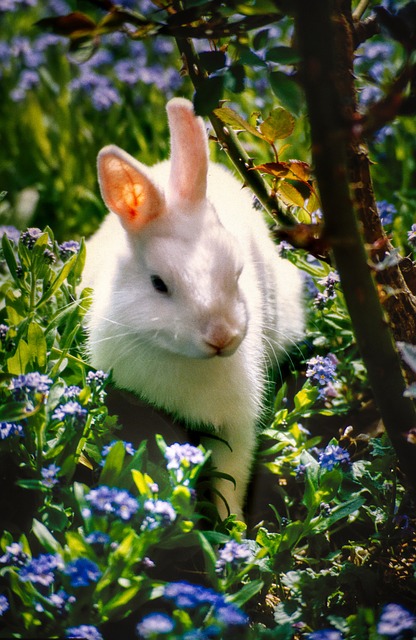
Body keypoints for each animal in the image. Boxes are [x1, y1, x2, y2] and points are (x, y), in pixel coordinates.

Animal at [83, 99, 306, 520]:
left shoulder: (235, 429)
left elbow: (230, 481)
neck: (182, 359)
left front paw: (233, 527)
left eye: (236, 273)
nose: (222, 337)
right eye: (159, 284)